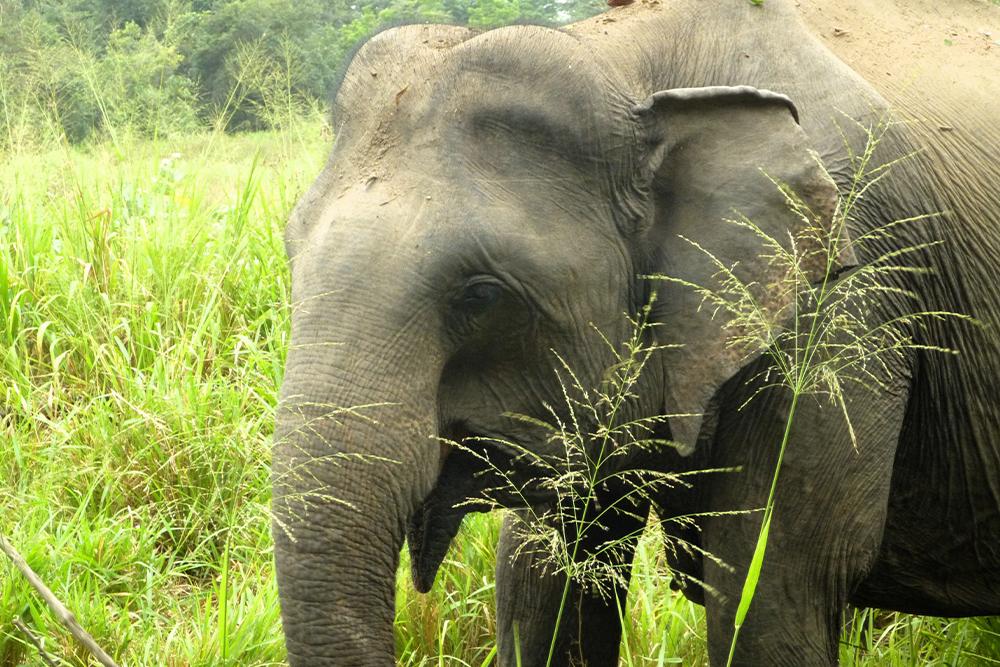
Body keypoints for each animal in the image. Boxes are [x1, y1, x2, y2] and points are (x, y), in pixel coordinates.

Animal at [272, 0, 1000, 664]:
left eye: (481, 295)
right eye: (291, 253)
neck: (622, 59)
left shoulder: (846, 300)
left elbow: (776, 589)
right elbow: (545, 584)